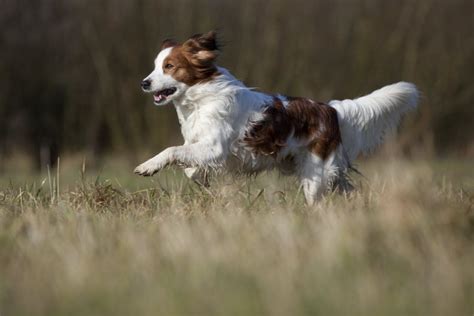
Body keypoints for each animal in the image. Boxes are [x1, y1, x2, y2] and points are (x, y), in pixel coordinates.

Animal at [134, 31, 418, 205]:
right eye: (156, 66)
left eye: (169, 67)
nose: (144, 83)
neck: (200, 99)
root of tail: (331, 110)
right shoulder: (202, 147)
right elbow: (189, 168)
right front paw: (201, 177)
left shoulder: (214, 147)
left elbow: (172, 150)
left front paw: (148, 166)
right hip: (323, 172)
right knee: (348, 189)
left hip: (315, 174)